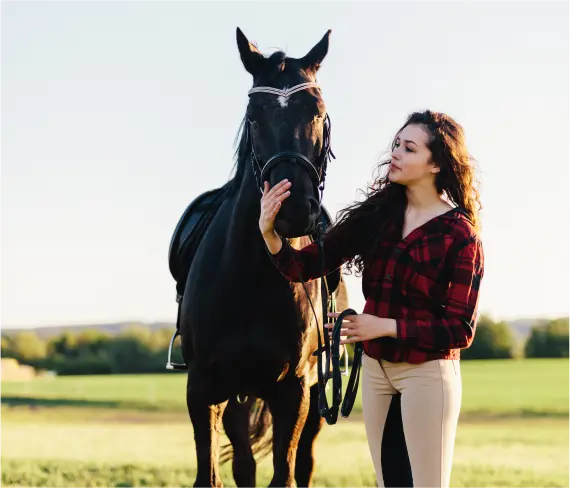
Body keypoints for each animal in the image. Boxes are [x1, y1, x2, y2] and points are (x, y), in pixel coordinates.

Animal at [175, 28, 410, 488]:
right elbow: (211, 474)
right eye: (254, 116)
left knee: (302, 464)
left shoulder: (296, 390)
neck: (250, 277)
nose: (294, 210)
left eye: (318, 112)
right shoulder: (204, 387)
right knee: (245, 463)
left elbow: (284, 473)